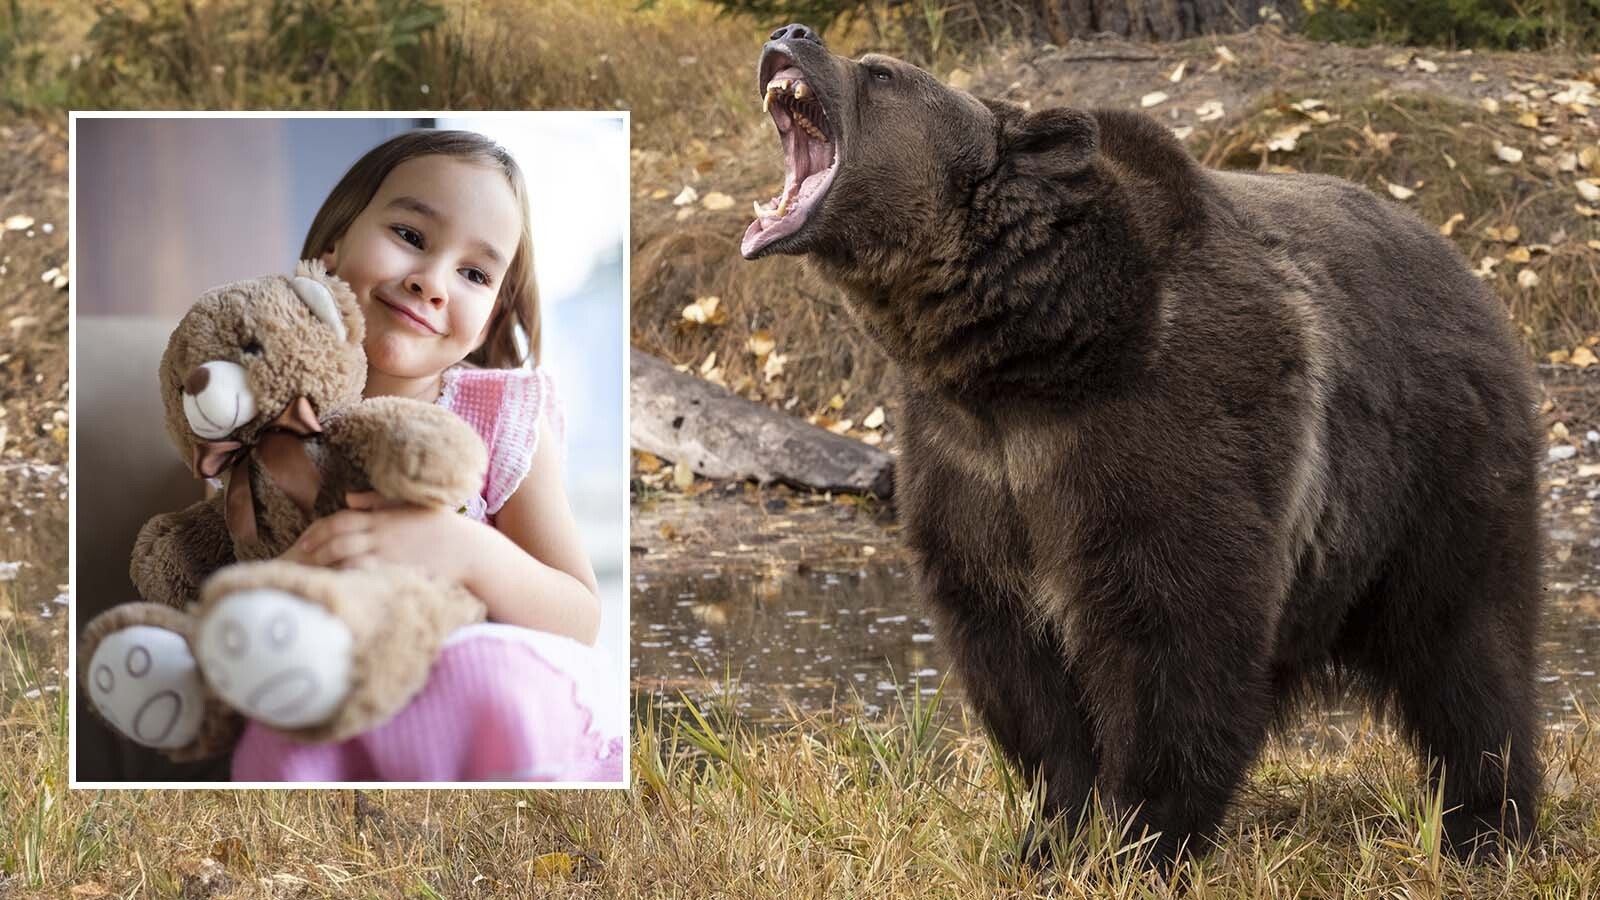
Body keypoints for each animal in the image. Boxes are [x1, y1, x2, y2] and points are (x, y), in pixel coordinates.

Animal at [742, 24, 1543, 866]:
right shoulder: (971, 468)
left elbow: (1173, 639)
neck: (1026, 357)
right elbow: (1017, 667)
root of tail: (1467, 269)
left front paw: (1144, 837)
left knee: (1466, 648)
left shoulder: (1160, 433)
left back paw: (1486, 824)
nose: (792, 32)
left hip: (1436, 472)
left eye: (882, 73)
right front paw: (1051, 834)